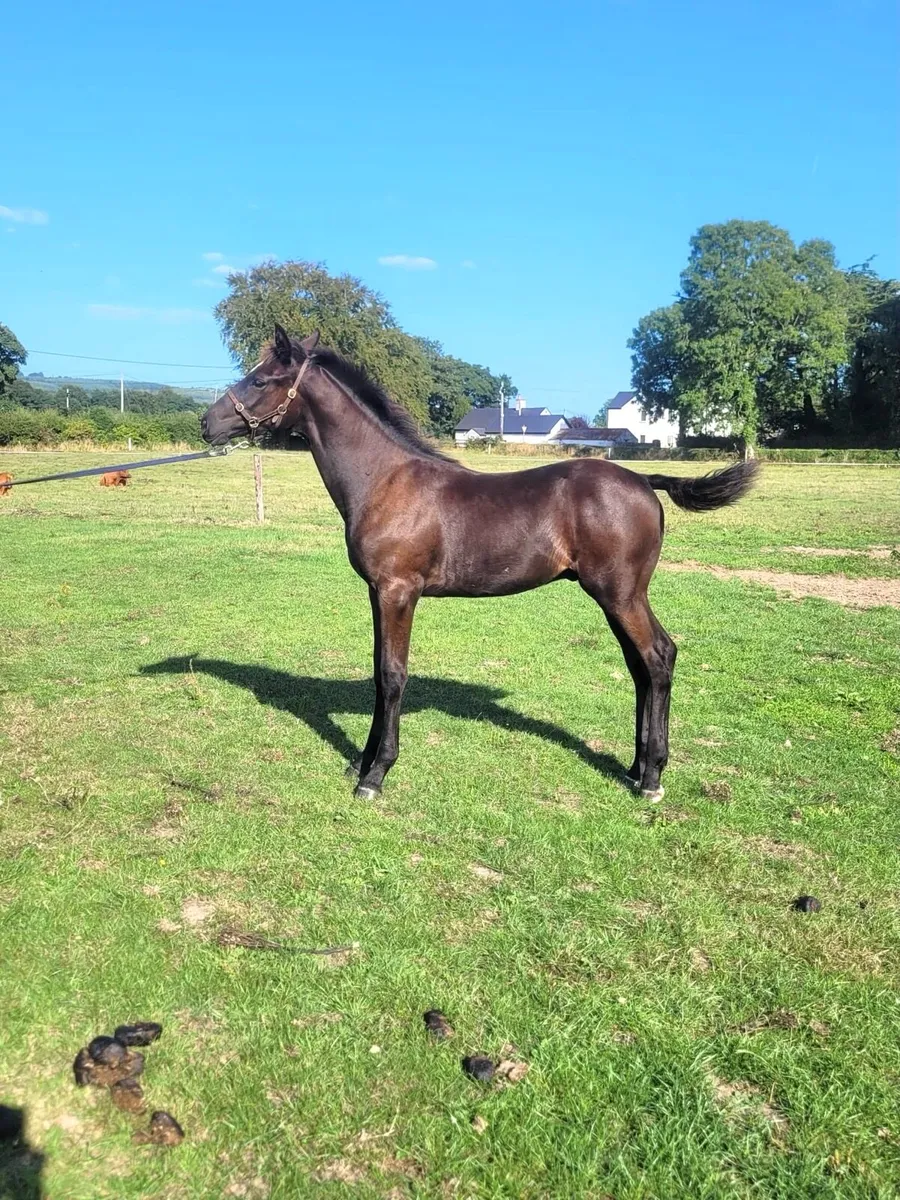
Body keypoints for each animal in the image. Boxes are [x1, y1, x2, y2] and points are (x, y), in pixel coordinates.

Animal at [201, 325, 758, 802]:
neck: (384, 479)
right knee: (640, 666)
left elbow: (393, 674)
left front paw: (375, 775)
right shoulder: (377, 592)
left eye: (260, 379)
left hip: (620, 593)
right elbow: (379, 670)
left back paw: (653, 778)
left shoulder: (398, 590)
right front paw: (360, 762)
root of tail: (644, 479)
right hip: (614, 597)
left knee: (659, 657)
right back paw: (636, 767)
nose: (207, 423)